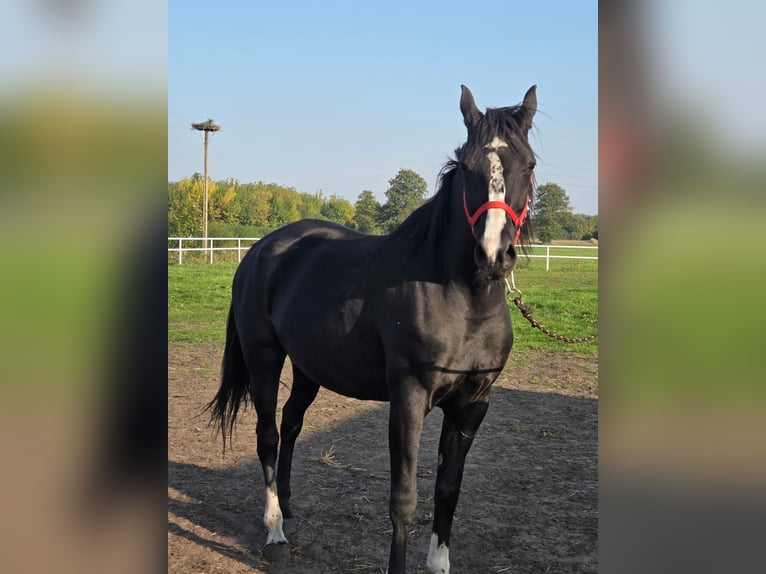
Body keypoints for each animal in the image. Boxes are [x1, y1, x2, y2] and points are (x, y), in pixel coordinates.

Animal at [207, 84, 538, 574]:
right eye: (468, 164)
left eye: (528, 164)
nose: (493, 255)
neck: (461, 299)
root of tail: (262, 249)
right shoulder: (407, 399)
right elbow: (404, 498)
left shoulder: (472, 404)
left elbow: (448, 490)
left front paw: (439, 564)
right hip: (264, 360)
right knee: (267, 436)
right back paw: (275, 530)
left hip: (308, 368)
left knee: (291, 423)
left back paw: (289, 510)